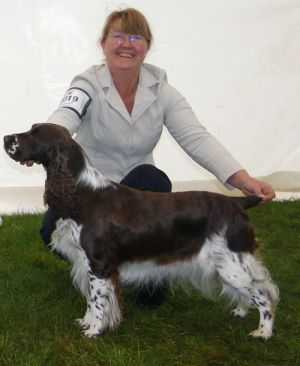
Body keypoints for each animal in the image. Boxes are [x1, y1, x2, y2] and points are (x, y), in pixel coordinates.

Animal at [3, 124, 278, 338]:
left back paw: (263, 332)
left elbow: (97, 301)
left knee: (264, 294)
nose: (6, 138)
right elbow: (91, 301)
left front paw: (93, 331)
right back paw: (240, 311)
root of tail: (237, 202)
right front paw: (86, 323)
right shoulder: (86, 261)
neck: (82, 193)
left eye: (34, 133)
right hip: (227, 265)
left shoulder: (99, 263)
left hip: (232, 264)